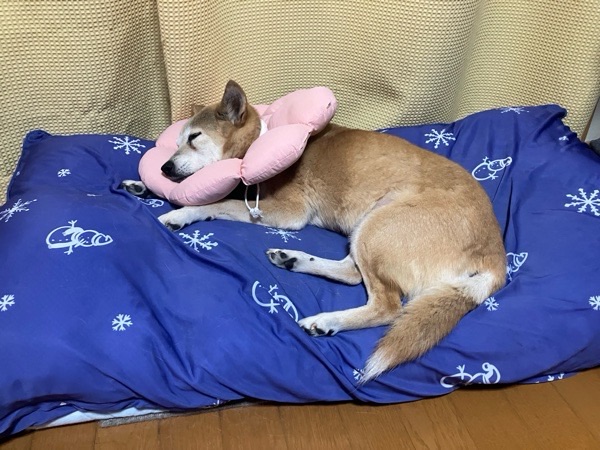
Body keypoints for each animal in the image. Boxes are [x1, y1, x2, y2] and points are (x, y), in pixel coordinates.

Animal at [122, 80, 506, 382]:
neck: (259, 143)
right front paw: (141, 185)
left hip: (379, 225)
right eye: (176, 142)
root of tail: (495, 255)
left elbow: (215, 203)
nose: (164, 167)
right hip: (367, 228)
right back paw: (292, 259)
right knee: (352, 274)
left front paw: (182, 213)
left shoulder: (284, 213)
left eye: (194, 138)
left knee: (386, 306)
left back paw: (326, 319)